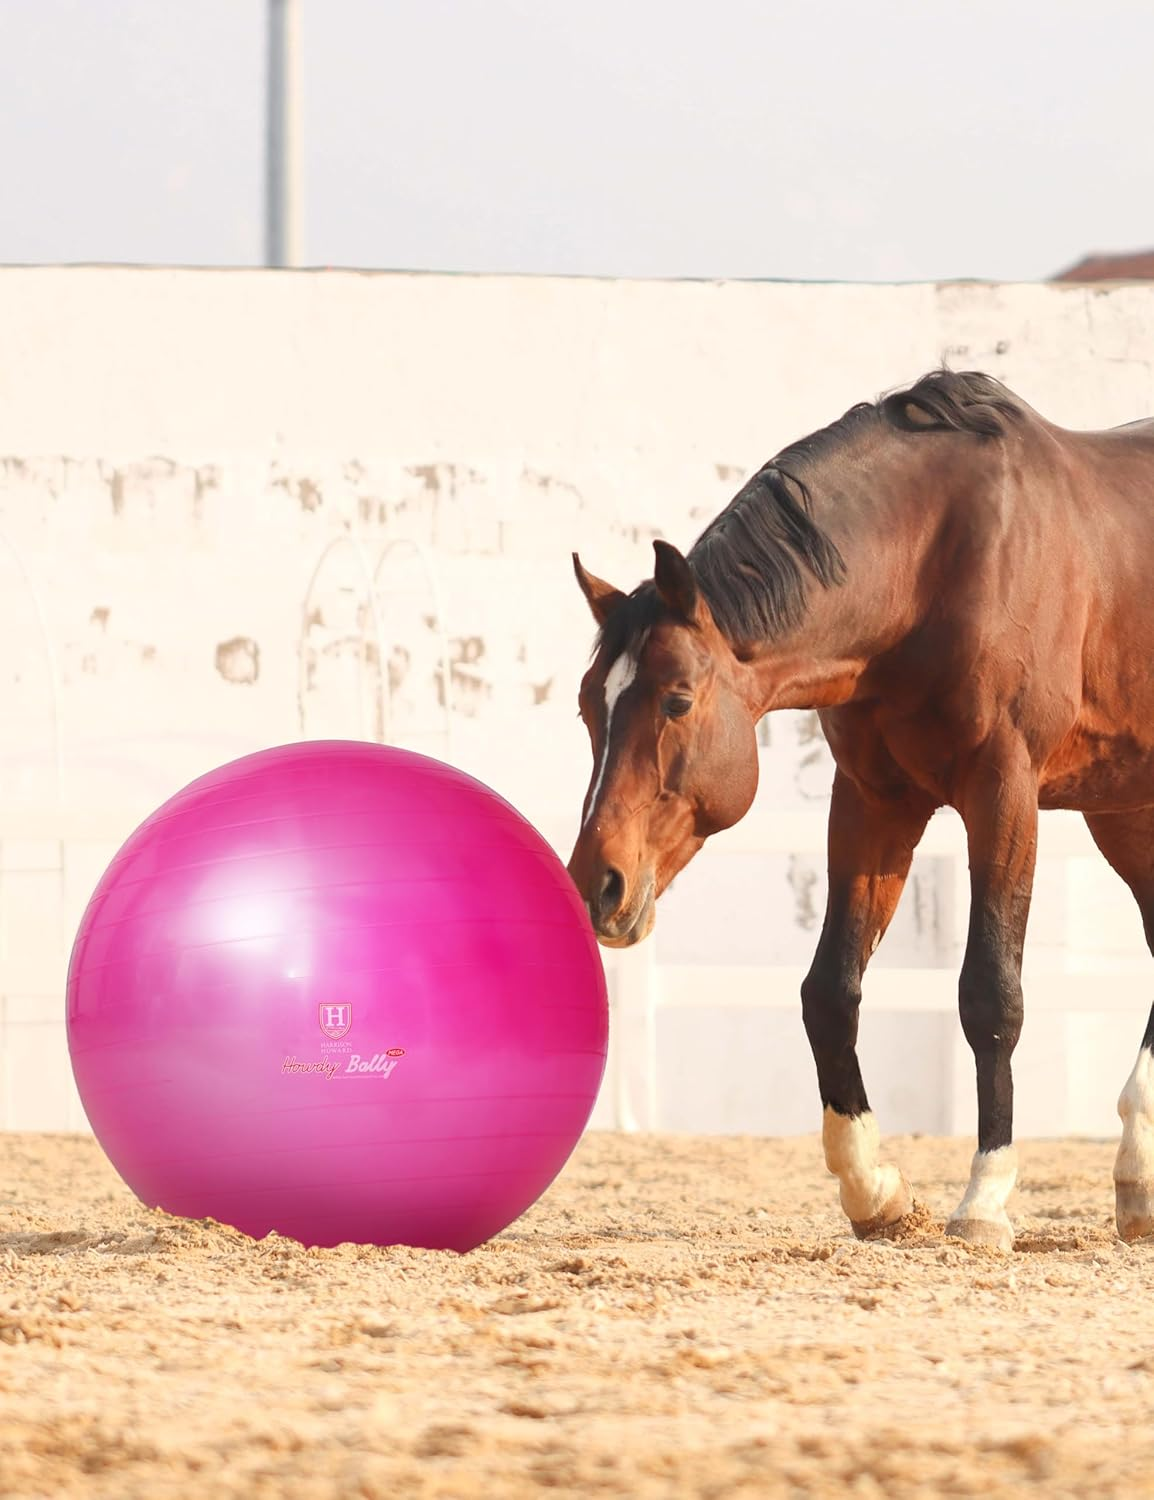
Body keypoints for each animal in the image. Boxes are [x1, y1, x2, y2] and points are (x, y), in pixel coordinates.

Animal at [567, 368, 1154, 1251]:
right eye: (586, 707)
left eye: (677, 700)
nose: (597, 885)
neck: (937, 565)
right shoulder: (874, 802)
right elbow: (829, 992)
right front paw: (874, 1189)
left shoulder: (1003, 792)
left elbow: (991, 992)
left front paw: (984, 1200)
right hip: (1124, 810)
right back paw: (1138, 1176)